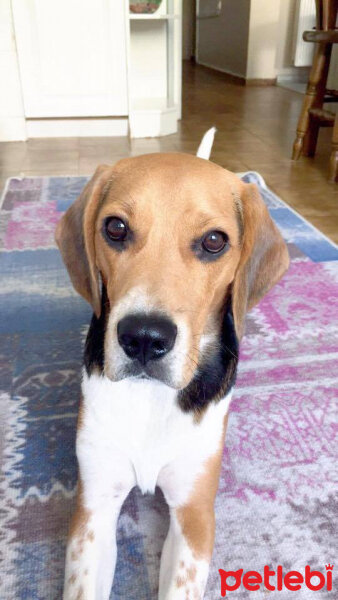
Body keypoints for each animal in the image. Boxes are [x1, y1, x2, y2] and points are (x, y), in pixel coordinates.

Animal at [56, 135, 290, 600]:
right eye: (115, 228)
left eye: (214, 240)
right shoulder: (93, 509)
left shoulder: (194, 513)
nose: (144, 338)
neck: (151, 398)